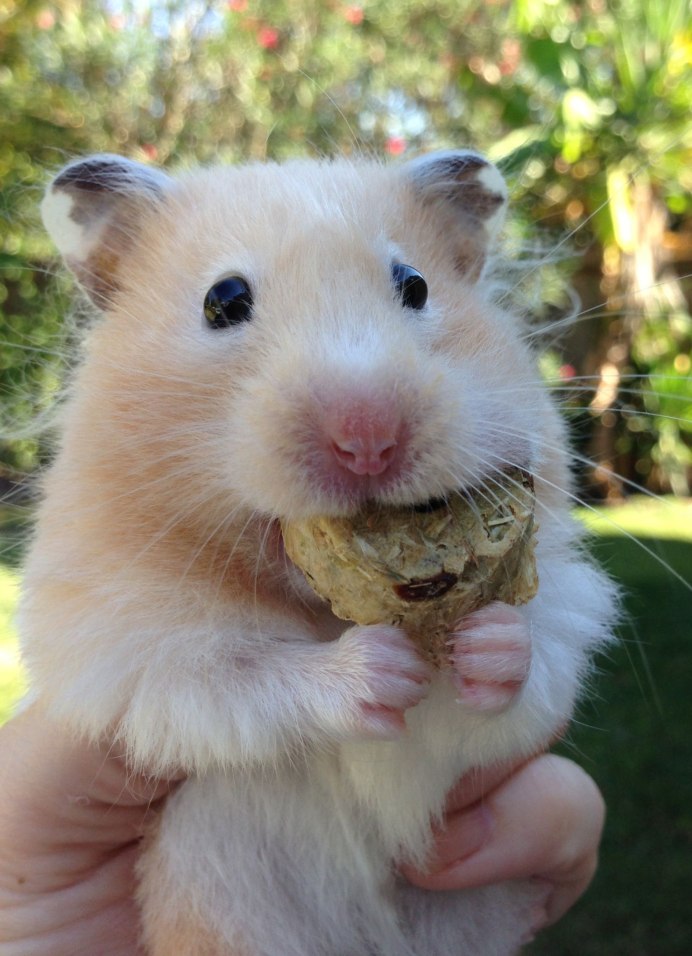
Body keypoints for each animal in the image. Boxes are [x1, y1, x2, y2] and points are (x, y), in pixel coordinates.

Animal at [19, 150, 618, 956]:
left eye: (415, 285)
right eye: (223, 301)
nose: (368, 437)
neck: (317, 606)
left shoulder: (563, 620)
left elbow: (520, 673)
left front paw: (486, 638)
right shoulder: (130, 655)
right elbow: (248, 676)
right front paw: (382, 665)